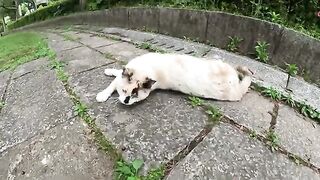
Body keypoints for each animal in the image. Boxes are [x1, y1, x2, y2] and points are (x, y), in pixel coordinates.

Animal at [95, 52, 252, 105]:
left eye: (135, 96)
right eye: (124, 92)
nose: (126, 101)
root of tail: (238, 90)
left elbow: (114, 80)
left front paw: (101, 95)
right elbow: (115, 77)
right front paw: (109, 72)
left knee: (246, 75)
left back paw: (244, 69)